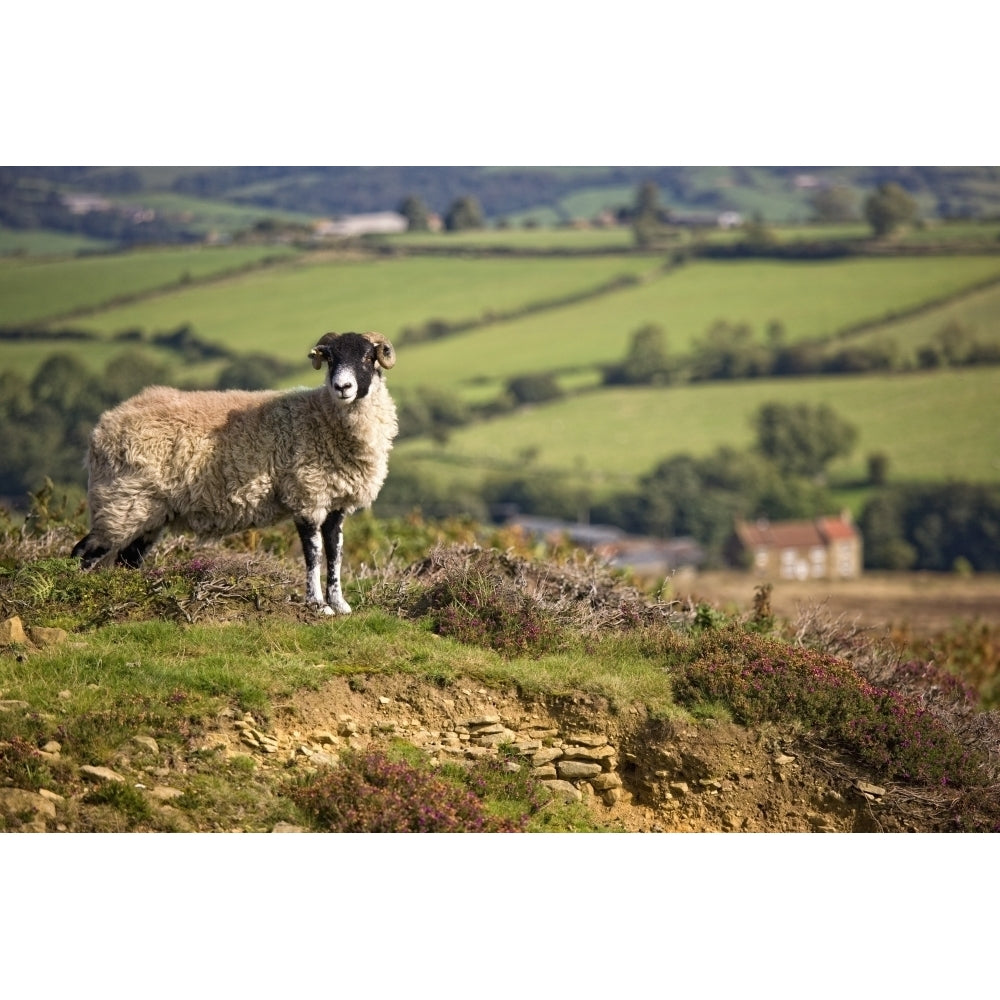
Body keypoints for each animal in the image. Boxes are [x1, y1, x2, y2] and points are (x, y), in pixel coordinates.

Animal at [71, 332, 398, 612]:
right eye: (330, 358)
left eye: (368, 357)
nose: (343, 387)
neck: (322, 417)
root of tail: (103, 427)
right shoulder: (306, 496)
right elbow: (313, 553)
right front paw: (317, 605)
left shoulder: (335, 502)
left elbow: (335, 552)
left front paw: (339, 604)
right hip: (120, 502)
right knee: (83, 552)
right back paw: (75, 592)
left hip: (147, 511)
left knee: (127, 560)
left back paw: (129, 593)